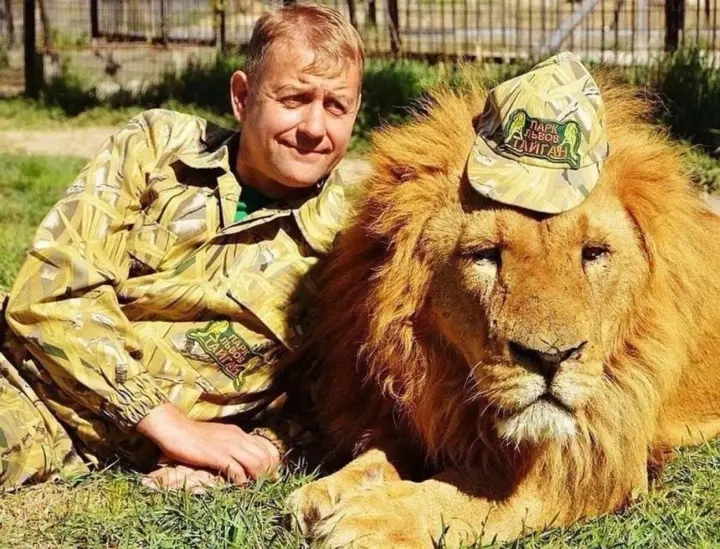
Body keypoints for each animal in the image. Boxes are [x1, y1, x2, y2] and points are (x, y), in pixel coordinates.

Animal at [286, 73, 720, 548]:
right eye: (485, 255)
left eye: (594, 253)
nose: (550, 358)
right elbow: (380, 452)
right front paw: (328, 491)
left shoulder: (592, 460)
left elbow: (468, 491)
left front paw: (374, 518)